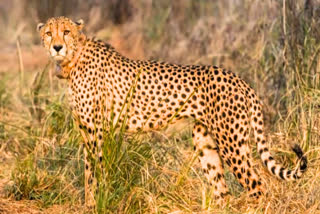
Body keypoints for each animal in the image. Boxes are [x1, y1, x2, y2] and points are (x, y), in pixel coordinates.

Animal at [37, 16, 308, 207]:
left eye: (66, 32)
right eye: (49, 33)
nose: (57, 47)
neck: (73, 58)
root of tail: (239, 79)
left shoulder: (96, 131)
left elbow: (95, 171)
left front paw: (96, 203)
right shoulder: (86, 130)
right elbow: (88, 171)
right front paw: (90, 203)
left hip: (232, 144)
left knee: (257, 186)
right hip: (205, 142)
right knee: (223, 191)